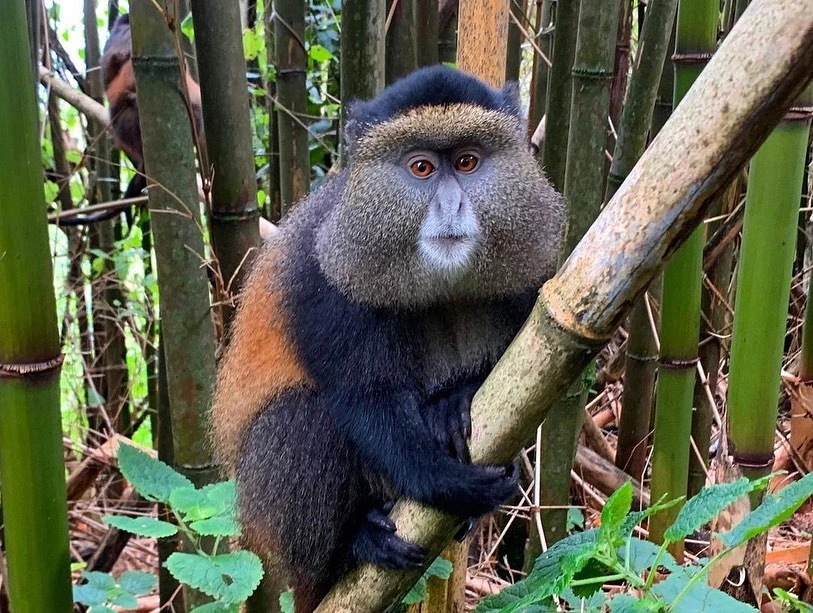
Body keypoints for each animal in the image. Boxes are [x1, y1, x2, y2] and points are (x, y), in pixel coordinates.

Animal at [210, 65, 565, 612]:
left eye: (467, 162)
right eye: (420, 168)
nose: (450, 204)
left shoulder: (532, 275)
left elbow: (531, 374)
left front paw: (455, 401)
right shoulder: (325, 276)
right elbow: (363, 400)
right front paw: (447, 483)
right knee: (300, 416)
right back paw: (350, 547)